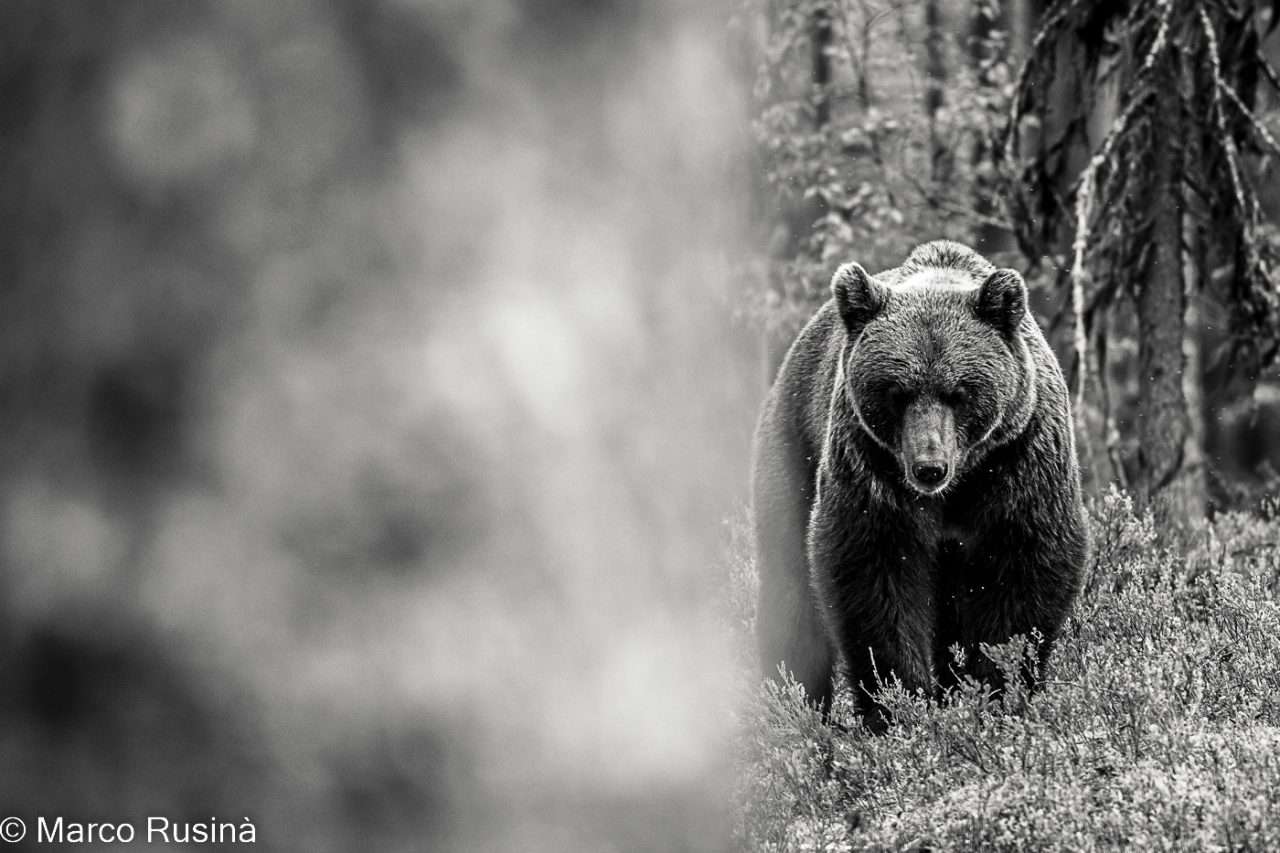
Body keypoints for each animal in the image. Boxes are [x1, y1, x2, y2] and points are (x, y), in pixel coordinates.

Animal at [747, 240, 1090, 732]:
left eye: (959, 392)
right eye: (897, 391)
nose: (929, 466)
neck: (959, 487)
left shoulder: (1020, 460)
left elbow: (1023, 571)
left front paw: (997, 693)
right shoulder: (871, 467)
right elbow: (874, 575)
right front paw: (898, 704)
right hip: (793, 451)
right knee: (790, 592)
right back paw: (792, 706)